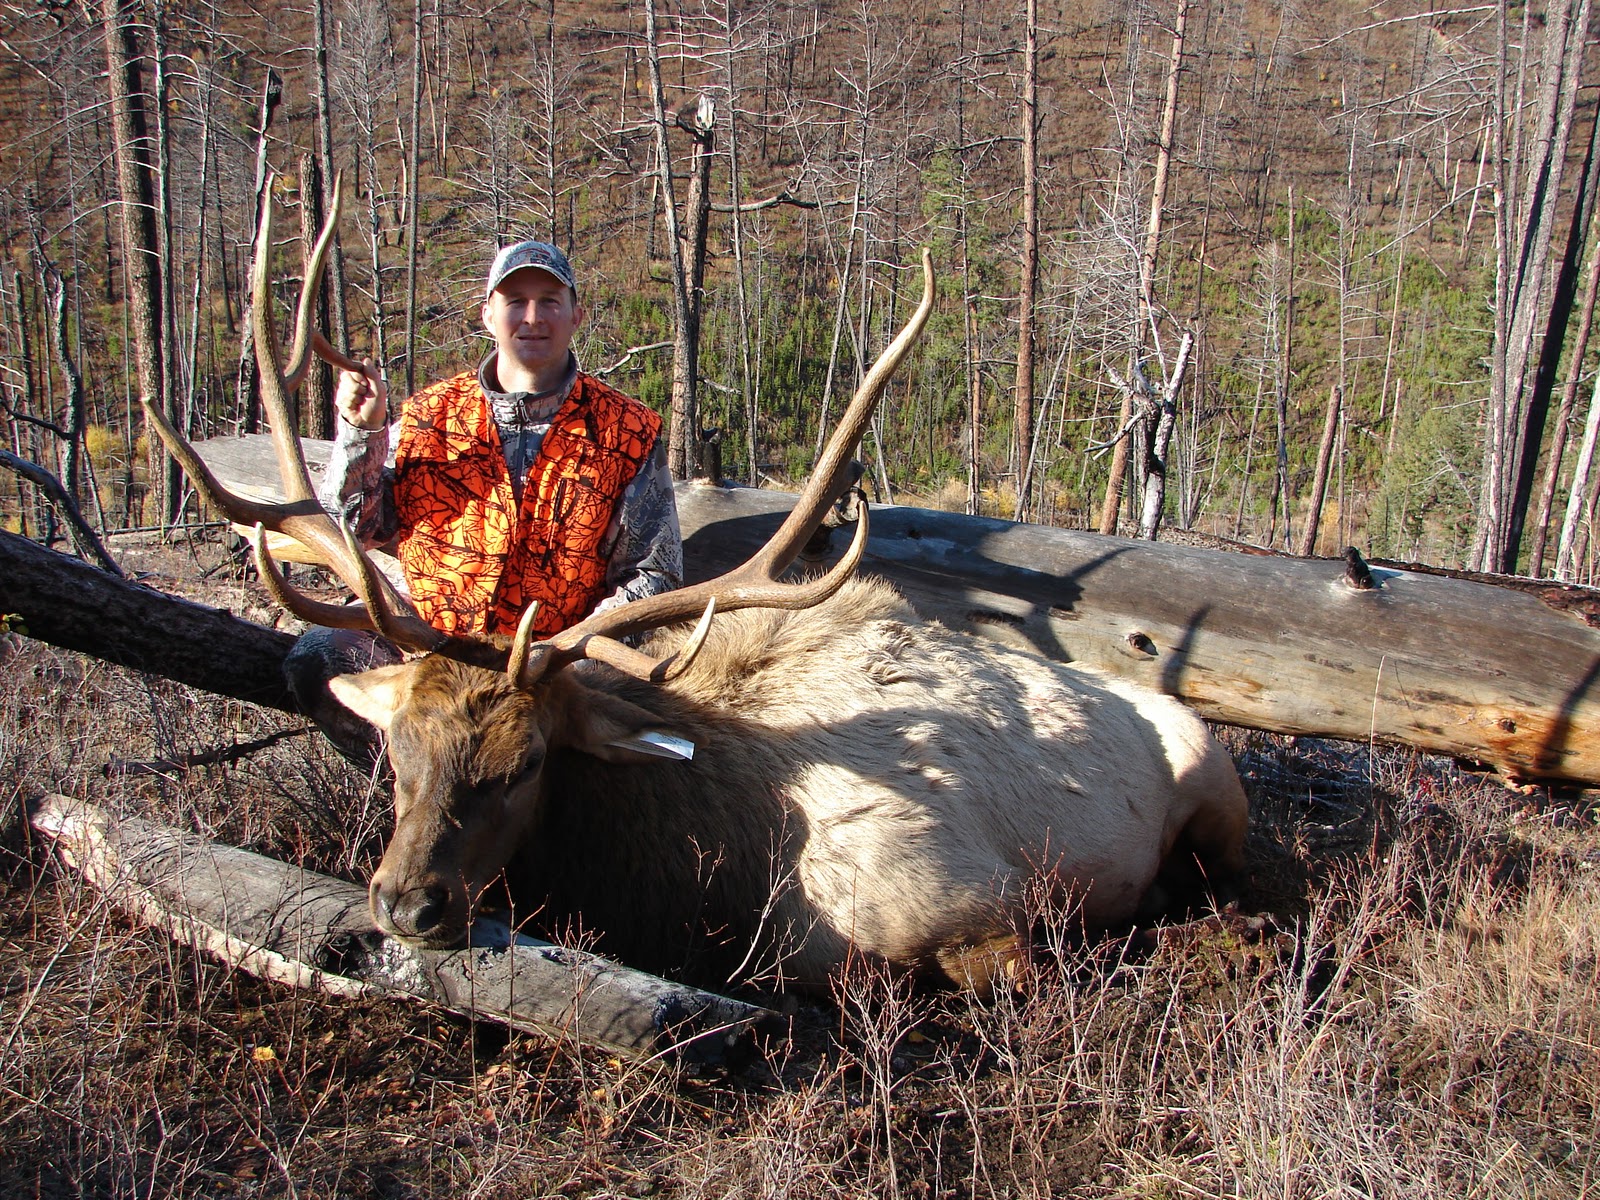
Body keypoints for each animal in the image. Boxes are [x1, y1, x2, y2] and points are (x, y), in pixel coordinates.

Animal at [145, 183, 1250, 994]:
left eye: (526, 762)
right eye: (396, 750)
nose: (409, 902)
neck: (709, 877)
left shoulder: (978, 908)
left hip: (1217, 792)